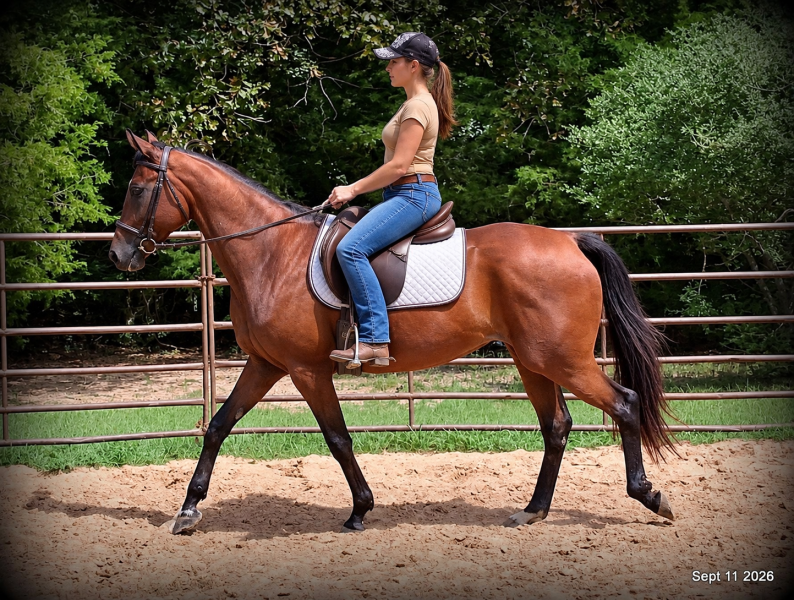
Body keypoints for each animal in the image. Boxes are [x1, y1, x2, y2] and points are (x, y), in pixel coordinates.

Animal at [110, 130, 676, 535]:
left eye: (137, 189)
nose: (118, 255)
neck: (271, 255)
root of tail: (572, 242)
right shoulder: (266, 364)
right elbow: (218, 425)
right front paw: (188, 510)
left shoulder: (306, 369)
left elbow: (337, 437)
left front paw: (360, 509)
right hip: (531, 360)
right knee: (556, 425)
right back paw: (532, 511)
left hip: (563, 360)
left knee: (624, 404)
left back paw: (649, 495)